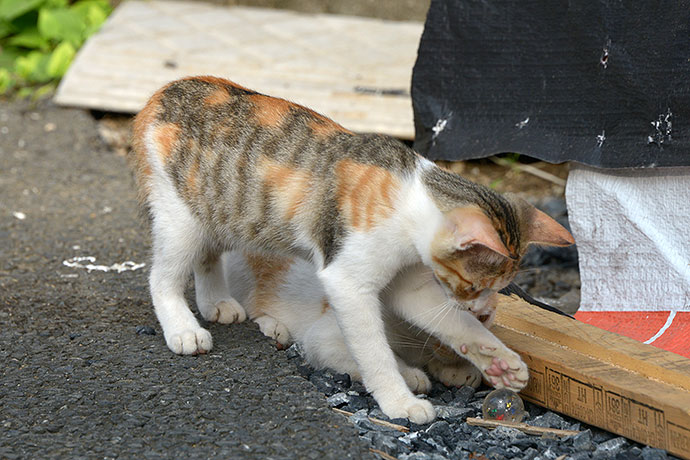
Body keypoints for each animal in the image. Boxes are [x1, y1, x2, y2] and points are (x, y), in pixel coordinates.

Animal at [226, 253, 506, 394]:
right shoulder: (324, 339)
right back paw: (273, 328)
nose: (456, 351)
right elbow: (377, 359)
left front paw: (458, 368)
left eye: (482, 318)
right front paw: (410, 375)